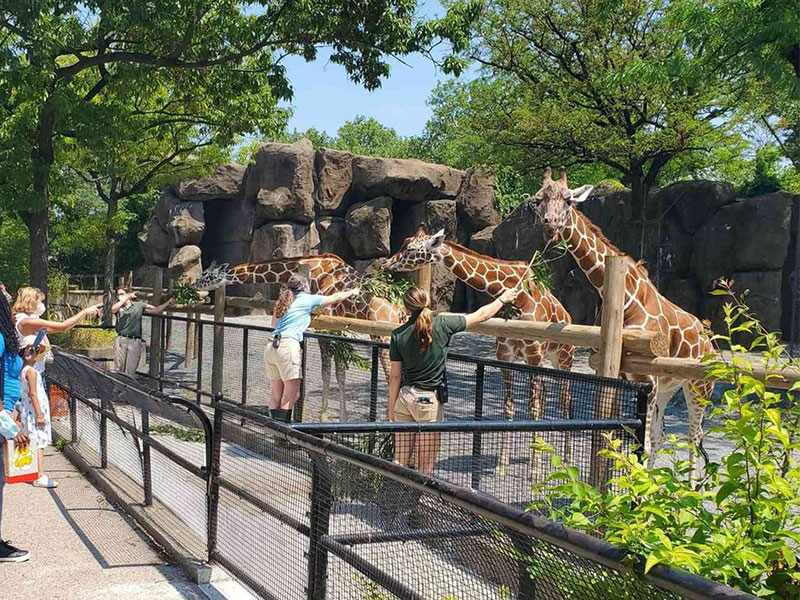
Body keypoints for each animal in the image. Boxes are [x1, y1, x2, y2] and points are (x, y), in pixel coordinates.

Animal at [192, 255, 404, 421]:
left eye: (208, 275)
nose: (193, 285)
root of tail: (400, 309)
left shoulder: (325, 325)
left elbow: (330, 371)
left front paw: (324, 417)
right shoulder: (336, 328)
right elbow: (337, 371)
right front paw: (337, 418)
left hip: (381, 336)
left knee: (390, 377)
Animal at [530, 167, 714, 472]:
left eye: (568, 200)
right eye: (538, 200)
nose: (551, 227)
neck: (625, 297)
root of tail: (710, 343)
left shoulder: (647, 377)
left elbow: (640, 443)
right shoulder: (619, 373)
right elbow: (613, 434)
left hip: (698, 387)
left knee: (693, 437)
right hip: (670, 385)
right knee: (664, 435)